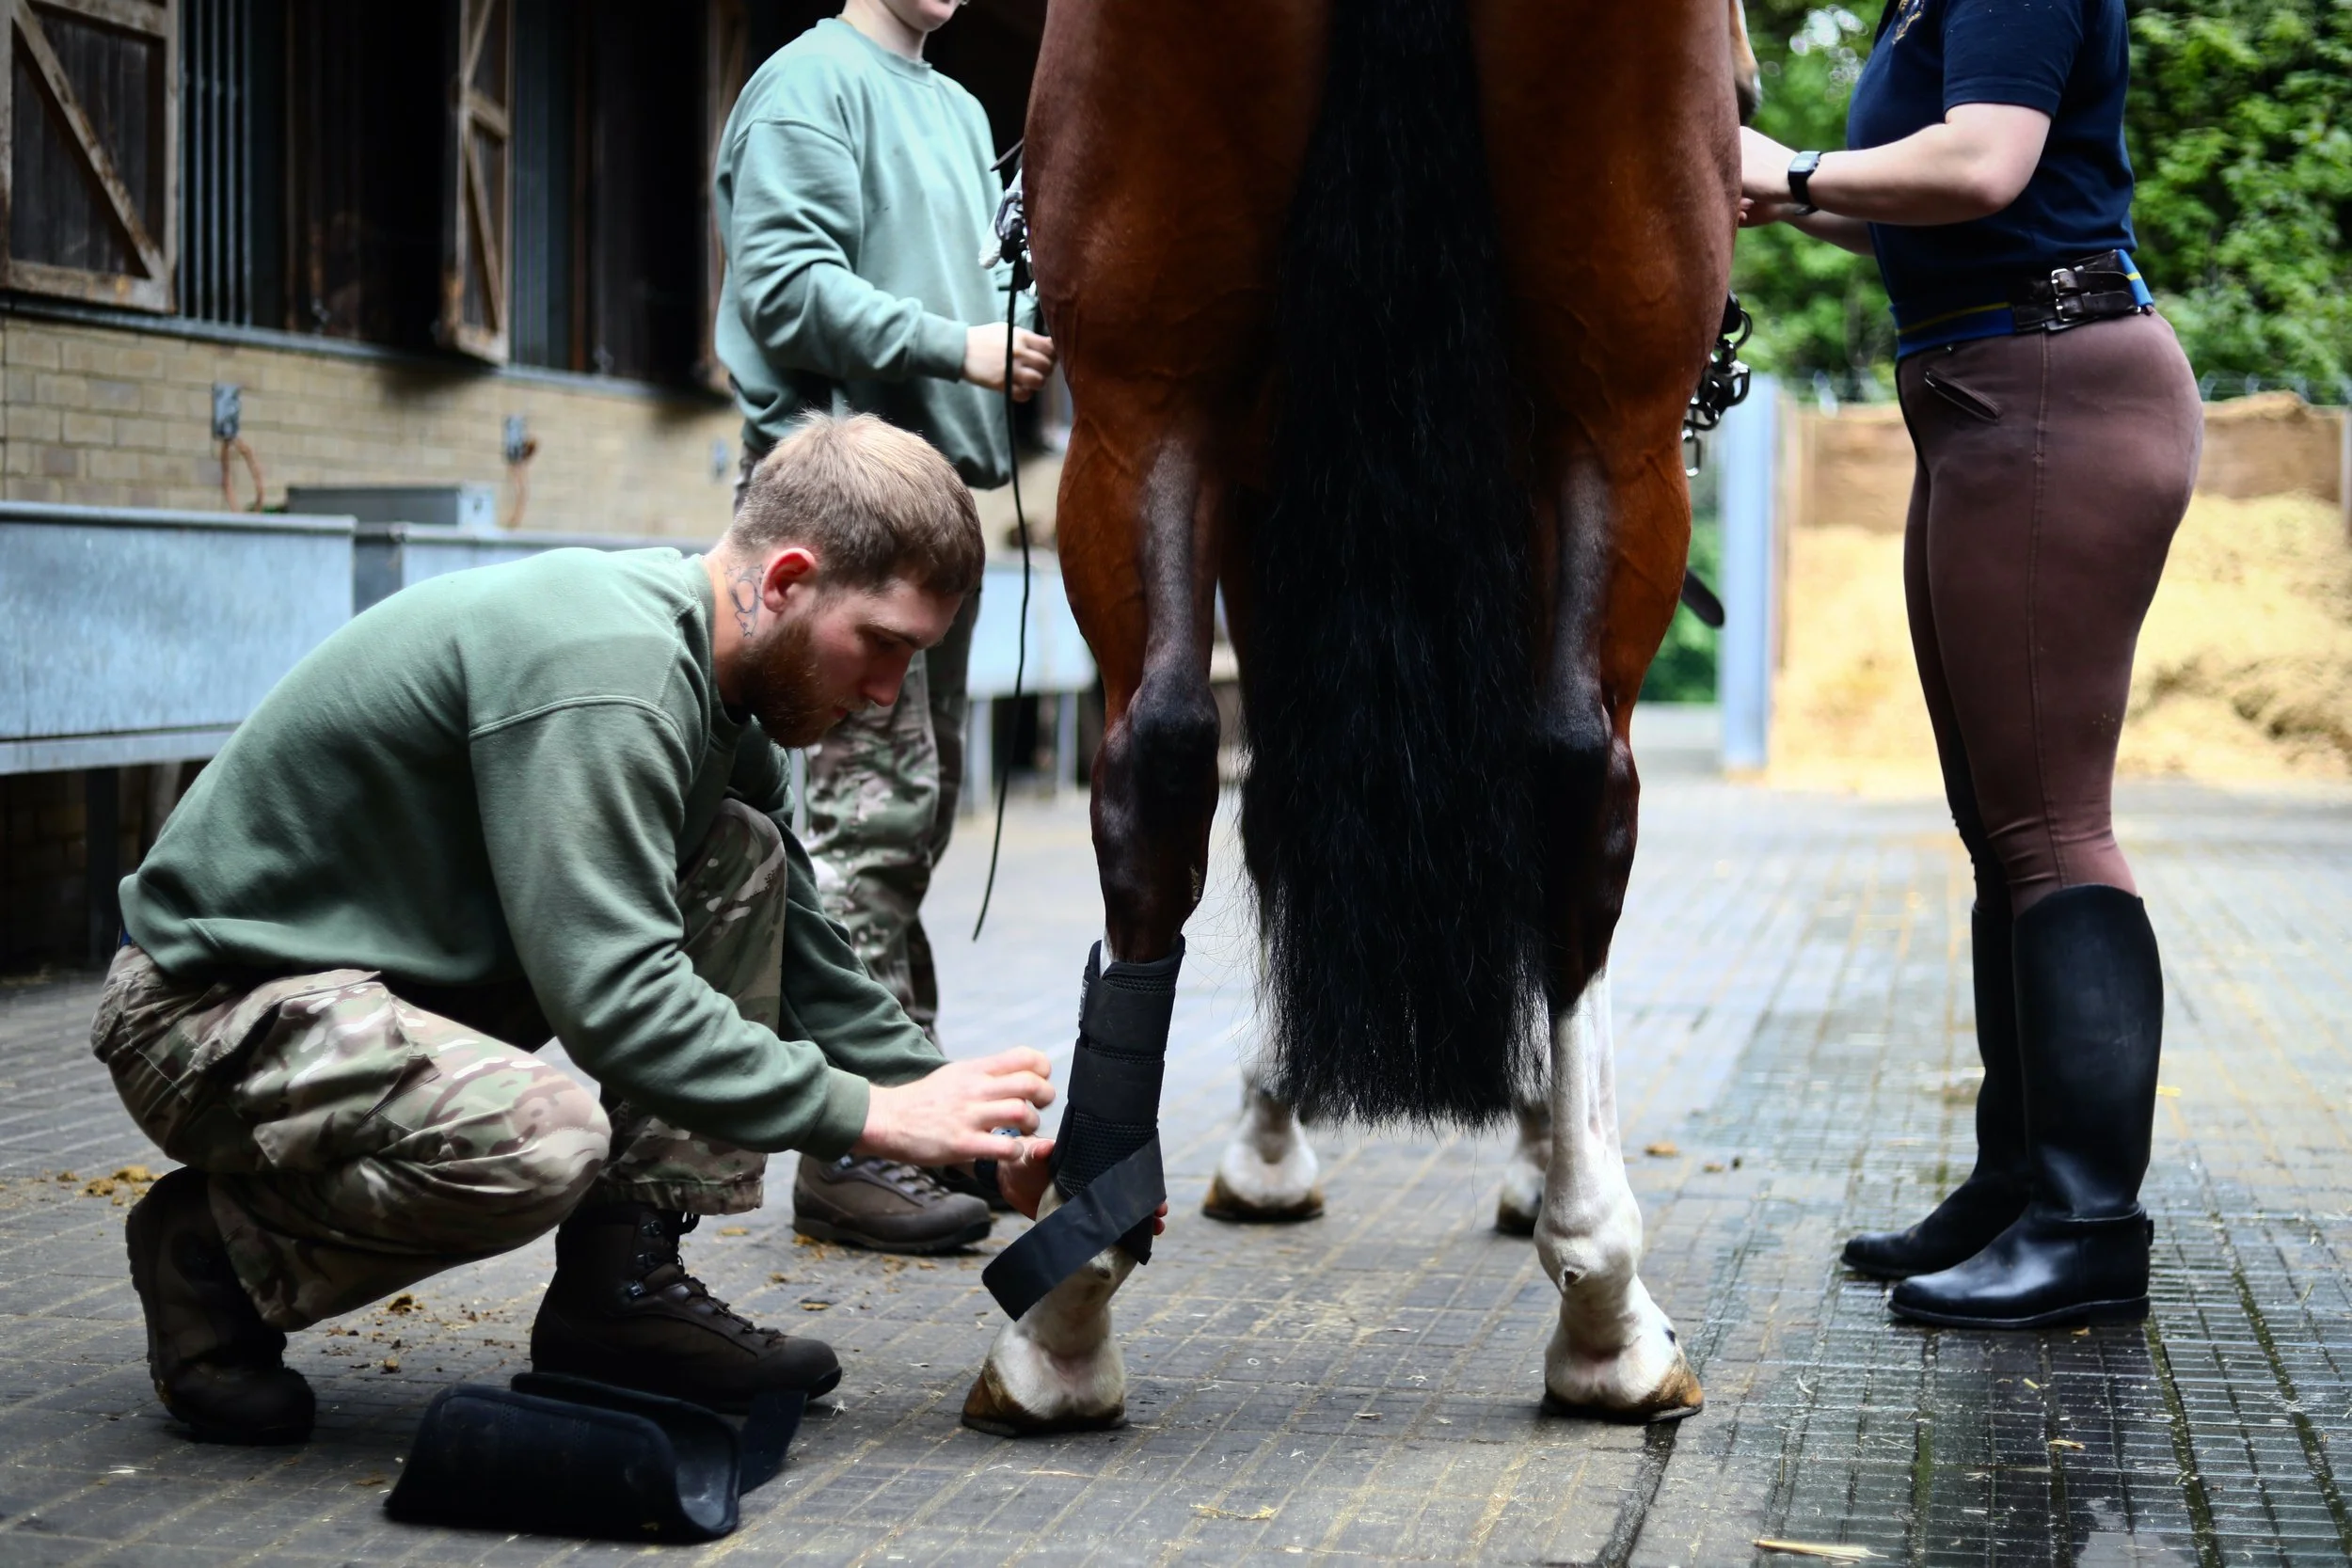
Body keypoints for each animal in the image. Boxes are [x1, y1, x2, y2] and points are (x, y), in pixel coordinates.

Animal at [962, 0, 1755, 1436]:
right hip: (1611, 421)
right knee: (1566, 780)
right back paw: (1603, 1305)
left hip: (1152, 402)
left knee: (1165, 757)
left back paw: (1063, 1314)